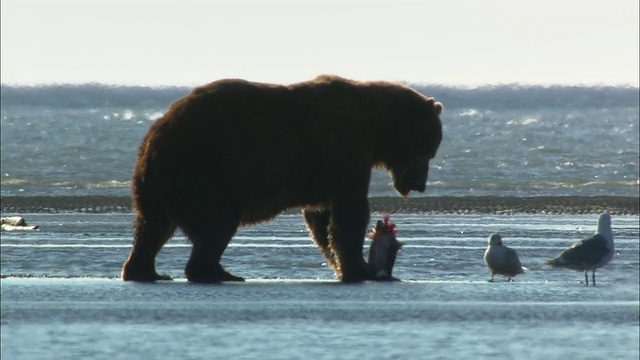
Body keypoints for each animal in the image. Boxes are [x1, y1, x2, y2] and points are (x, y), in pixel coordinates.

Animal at [122, 74, 444, 284]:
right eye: (430, 147)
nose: (420, 184)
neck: (374, 127)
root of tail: (153, 139)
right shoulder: (343, 151)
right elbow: (349, 211)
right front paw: (358, 268)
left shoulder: (322, 173)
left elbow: (322, 219)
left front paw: (345, 265)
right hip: (207, 168)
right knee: (217, 223)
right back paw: (216, 272)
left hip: (159, 183)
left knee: (152, 228)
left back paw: (146, 270)